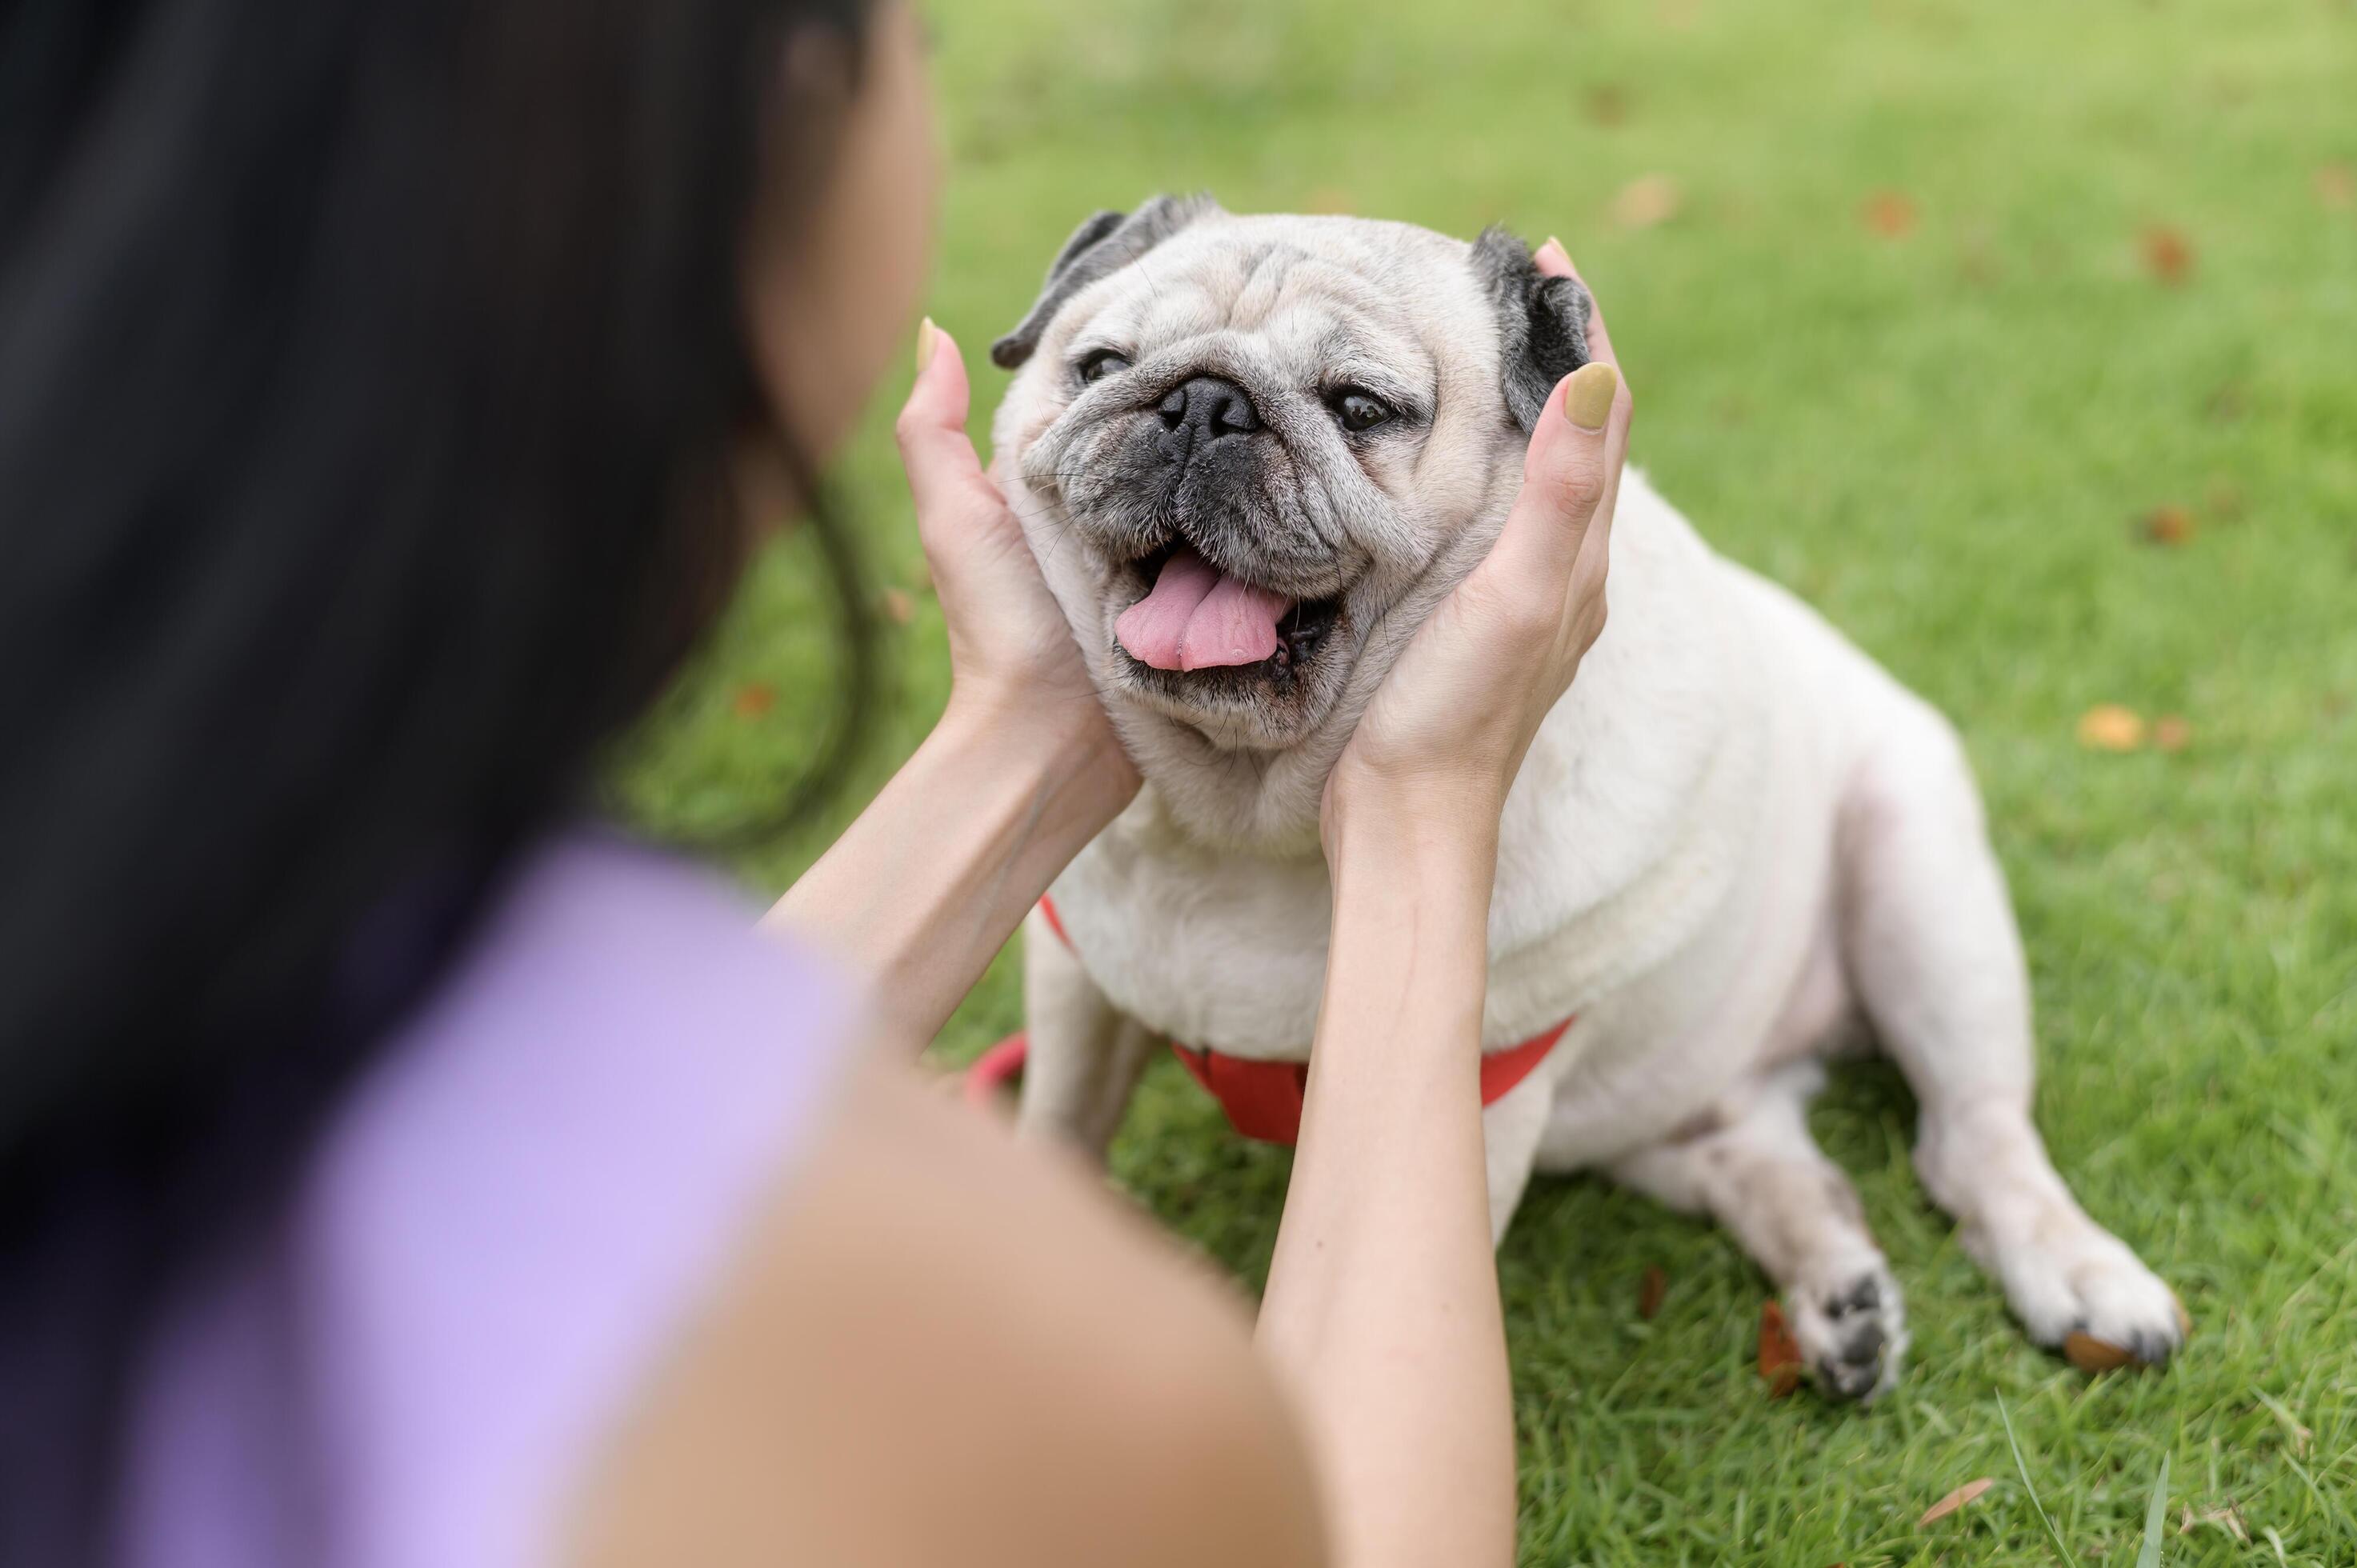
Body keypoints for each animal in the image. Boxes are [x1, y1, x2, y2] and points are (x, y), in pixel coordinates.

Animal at [985, 195, 2178, 1395]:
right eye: (1099, 367)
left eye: (1360, 407)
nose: (1202, 403)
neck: (1238, 829)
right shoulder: (1077, 988)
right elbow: (1056, 1138)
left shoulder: (1472, 1103)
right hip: (1678, 1107)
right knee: (1758, 1154)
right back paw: (1843, 1304)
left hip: (1923, 886)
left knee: (1974, 1139)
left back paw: (2080, 1278)